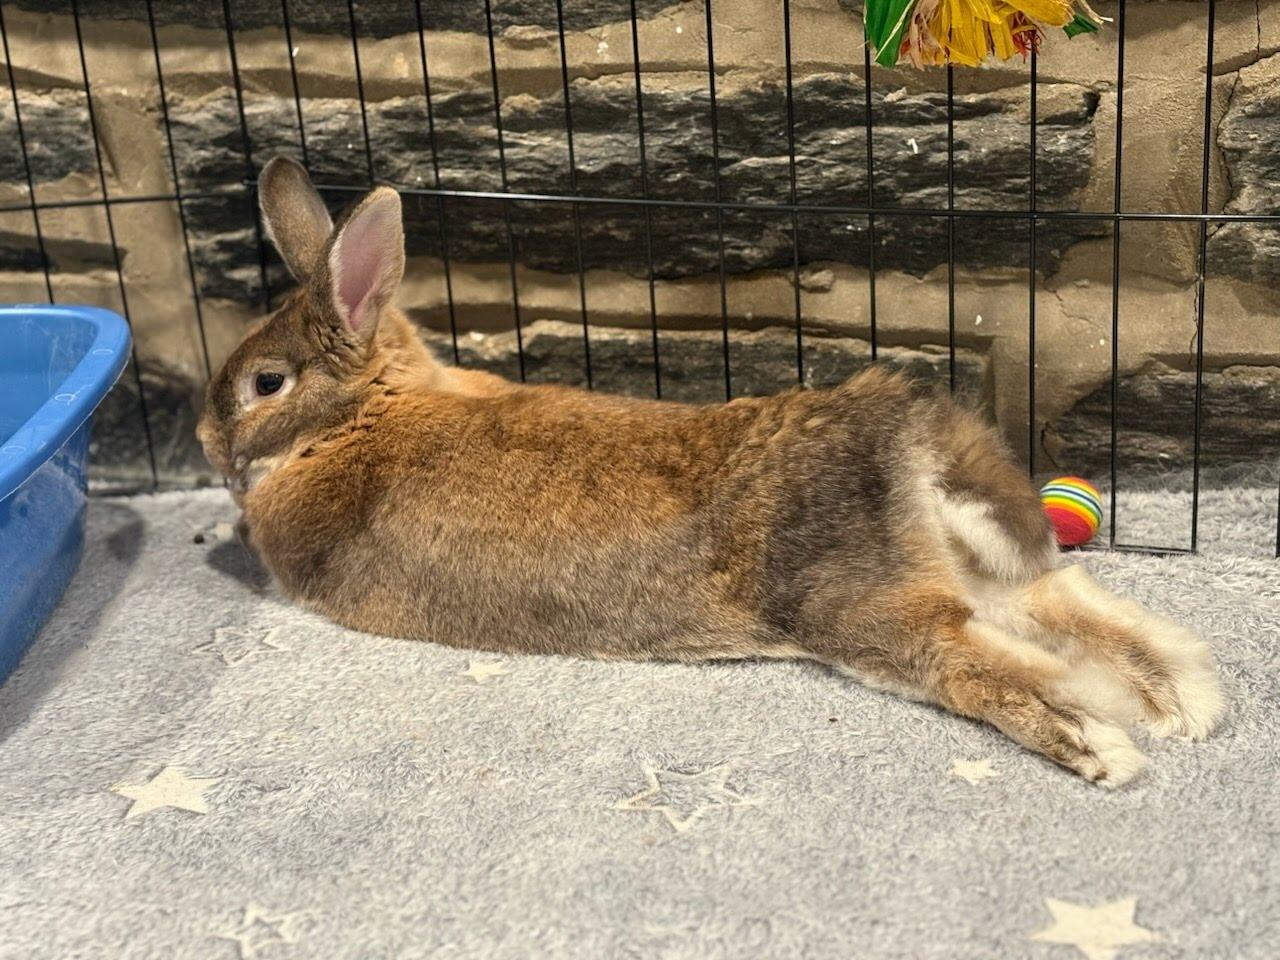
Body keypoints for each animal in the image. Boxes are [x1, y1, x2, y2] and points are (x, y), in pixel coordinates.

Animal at [197, 156, 1224, 787]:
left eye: (265, 383)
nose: (204, 440)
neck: (356, 418)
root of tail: (901, 436)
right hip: (971, 566)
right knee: (1067, 601)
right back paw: (1185, 704)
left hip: (862, 609)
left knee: (981, 660)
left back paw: (1102, 749)